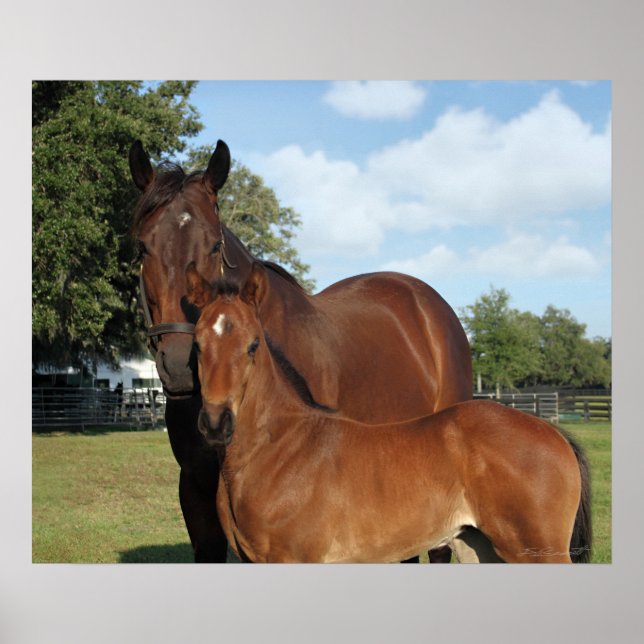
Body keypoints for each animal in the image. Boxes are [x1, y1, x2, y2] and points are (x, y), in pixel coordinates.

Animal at [188, 262, 593, 563]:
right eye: (197, 344)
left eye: (253, 345)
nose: (216, 423)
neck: (281, 450)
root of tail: (554, 433)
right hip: (479, 547)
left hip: (536, 551)